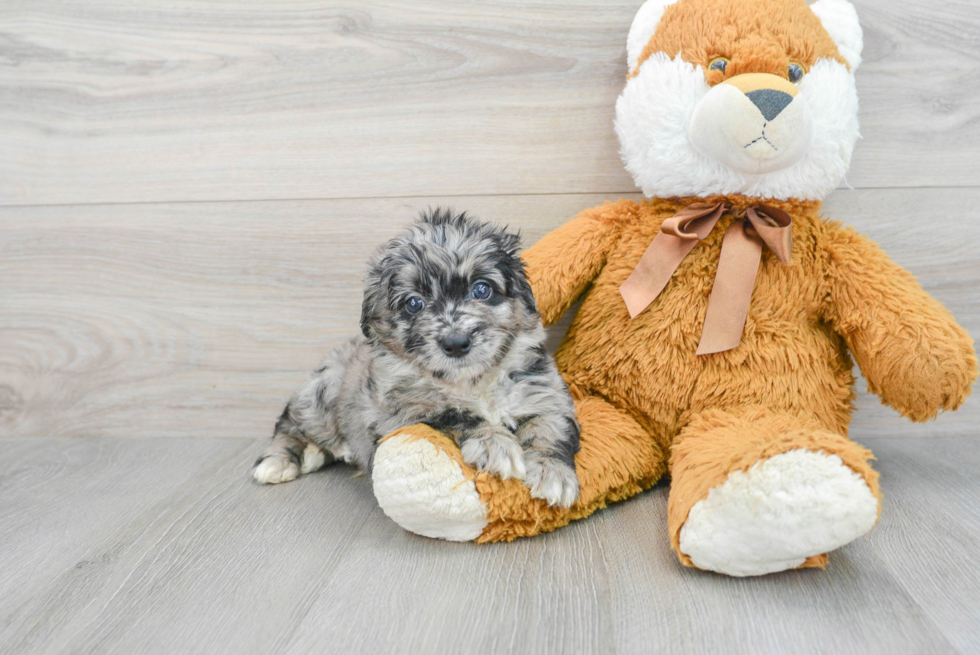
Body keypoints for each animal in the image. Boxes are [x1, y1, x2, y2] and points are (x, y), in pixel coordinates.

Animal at [253, 210, 580, 508]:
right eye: (414, 304)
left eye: (482, 289)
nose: (456, 343)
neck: (471, 382)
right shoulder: (401, 416)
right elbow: (452, 415)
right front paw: (494, 443)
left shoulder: (545, 395)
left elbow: (549, 430)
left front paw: (553, 473)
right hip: (320, 397)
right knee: (288, 424)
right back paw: (279, 461)